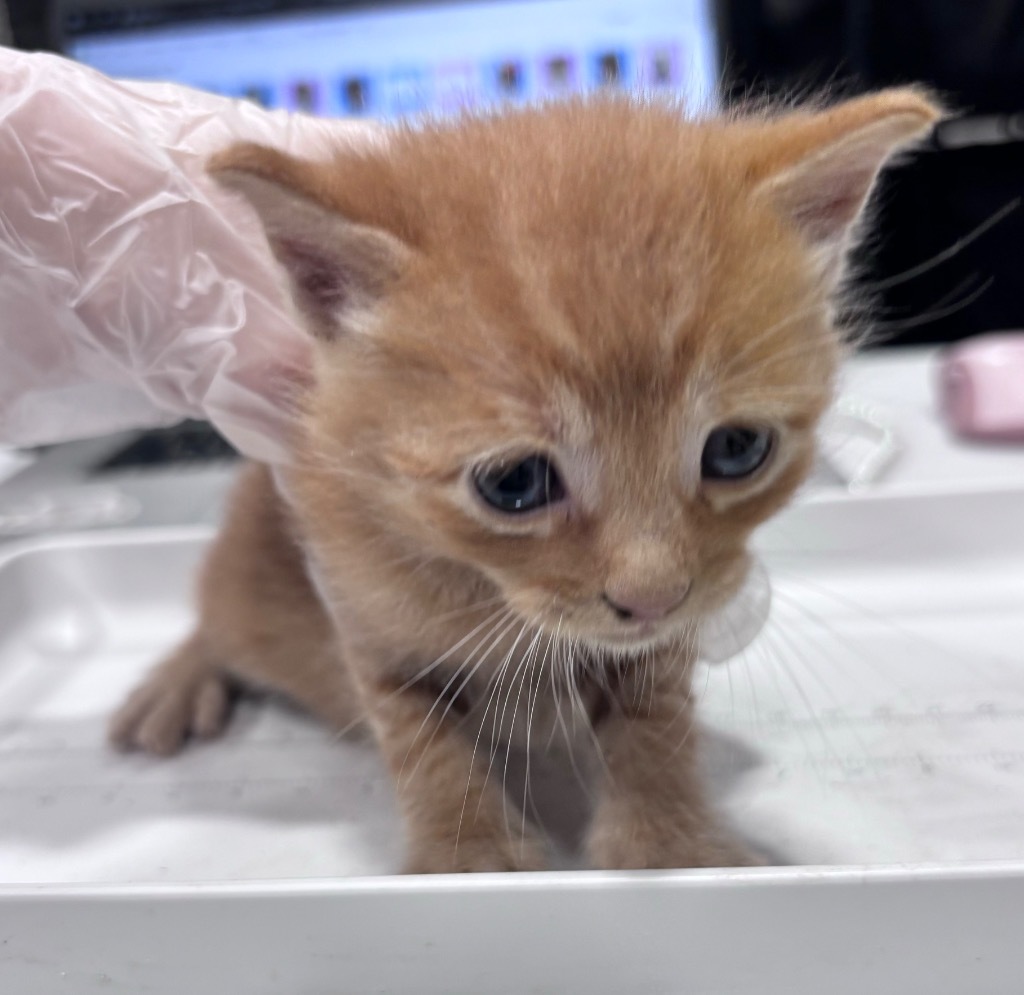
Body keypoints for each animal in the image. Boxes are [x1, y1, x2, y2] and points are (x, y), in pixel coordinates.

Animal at [110, 91, 937, 872]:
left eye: (737, 448)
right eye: (515, 482)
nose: (651, 598)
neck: (494, 595)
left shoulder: (664, 634)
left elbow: (656, 718)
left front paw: (669, 838)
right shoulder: (359, 603)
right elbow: (416, 733)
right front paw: (468, 851)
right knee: (221, 614)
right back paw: (181, 677)